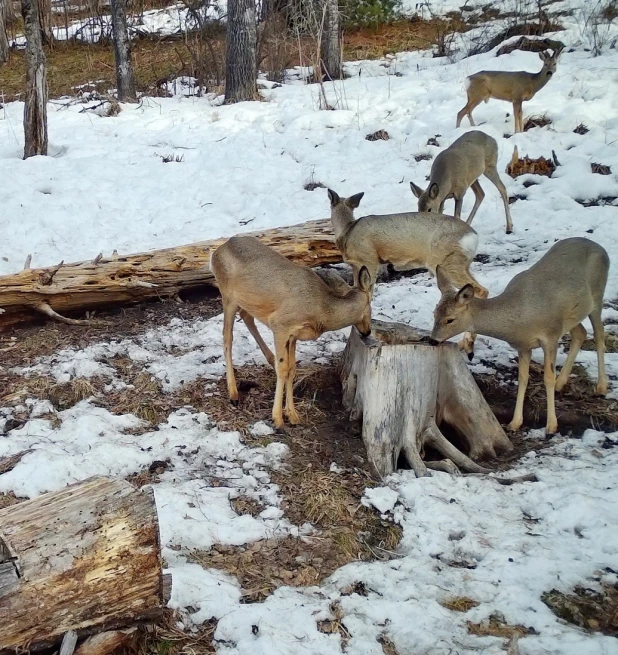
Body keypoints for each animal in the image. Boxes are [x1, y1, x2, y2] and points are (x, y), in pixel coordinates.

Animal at [209, 236, 370, 430]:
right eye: (370, 305)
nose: (368, 331)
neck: (321, 310)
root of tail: (216, 252)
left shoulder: (294, 335)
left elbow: (292, 368)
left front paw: (292, 414)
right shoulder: (280, 325)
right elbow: (283, 369)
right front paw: (277, 418)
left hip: (247, 301)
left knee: (246, 316)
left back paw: (269, 359)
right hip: (227, 296)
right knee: (227, 338)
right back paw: (233, 393)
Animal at [324, 187, 488, 362]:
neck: (348, 231)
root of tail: (473, 236)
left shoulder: (369, 260)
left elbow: (369, 293)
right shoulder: (357, 266)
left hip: (448, 262)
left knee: (481, 290)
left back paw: (467, 345)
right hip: (462, 264)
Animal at [428, 237, 608, 436]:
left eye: (450, 319)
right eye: (434, 314)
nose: (432, 340)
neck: (520, 318)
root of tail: (599, 247)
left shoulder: (551, 336)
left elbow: (547, 377)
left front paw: (551, 426)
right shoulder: (523, 346)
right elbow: (522, 378)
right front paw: (515, 422)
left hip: (597, 295)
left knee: (599, 335)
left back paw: (601, 387)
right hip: (573, 315)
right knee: (580, 333)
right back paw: (562, 383)